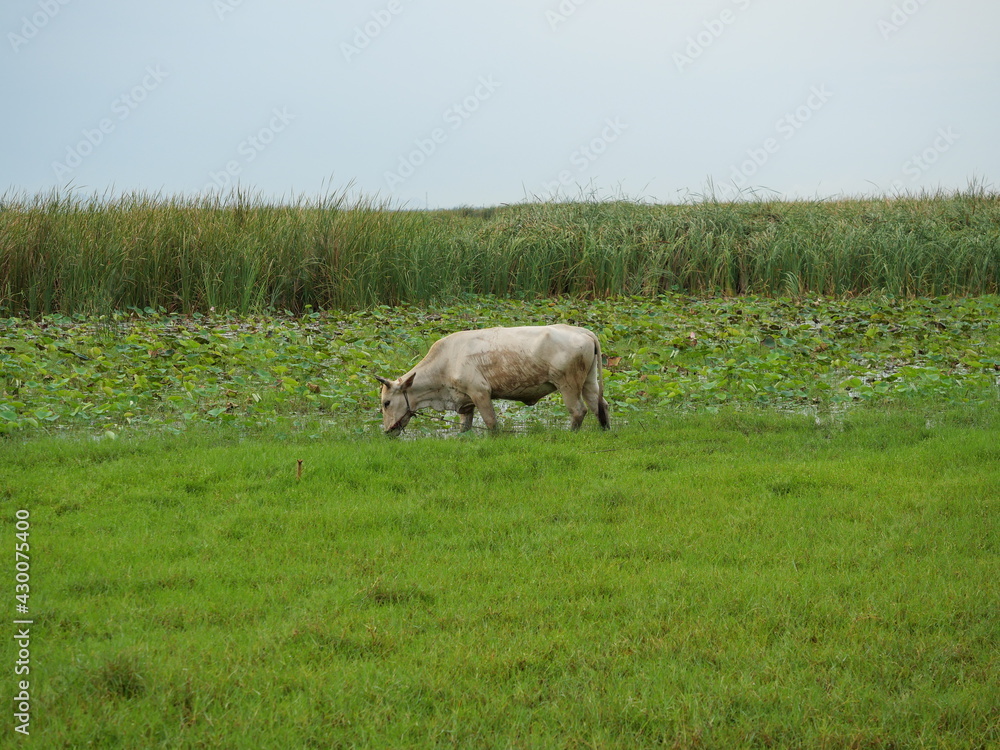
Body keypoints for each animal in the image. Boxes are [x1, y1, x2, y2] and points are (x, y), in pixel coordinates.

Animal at [374, 324, 610, 435]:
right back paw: (605, 429)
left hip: (567, 384)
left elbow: (491, 423)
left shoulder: (480, 392)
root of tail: (583, 331)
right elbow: (465, 427)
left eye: (386, 403)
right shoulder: (466, 402)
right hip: (589, 381)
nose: (387, 431)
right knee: (600, 406)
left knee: (578, 410)